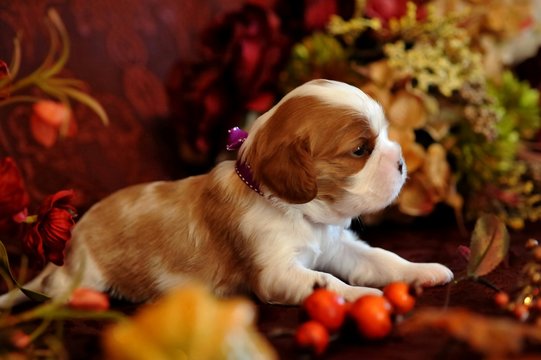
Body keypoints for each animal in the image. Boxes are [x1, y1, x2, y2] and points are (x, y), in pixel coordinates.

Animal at [5, 79, 452, 304]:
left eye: (385, 136)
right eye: (361, 150)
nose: (401, 163)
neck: (296, 212)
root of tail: (70, 246)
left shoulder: (339, 246)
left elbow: (381, 258)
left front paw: (424, 270)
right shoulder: (276, 271)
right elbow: (328, 283)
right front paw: (362, 295)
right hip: (82, 278)